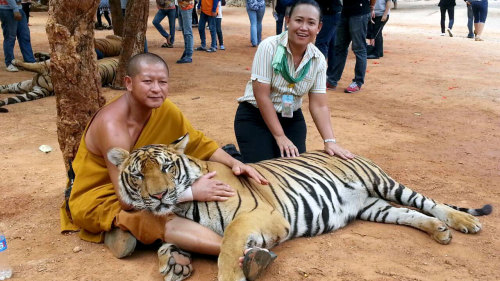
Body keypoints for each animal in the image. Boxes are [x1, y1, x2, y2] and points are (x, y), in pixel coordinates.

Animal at [106, 135, 492, 278]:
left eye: (167, 168)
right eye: (138, 175)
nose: (158, 196)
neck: (183, 207)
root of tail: (342, 149)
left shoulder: (263, 216)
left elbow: (228, 244)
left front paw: (233, 272)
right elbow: (171, 241)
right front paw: (173, 261)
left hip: (385, 183)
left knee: (430, 202)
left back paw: (461, 222)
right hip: (376, 207)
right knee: (413, 214)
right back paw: (439, 232)